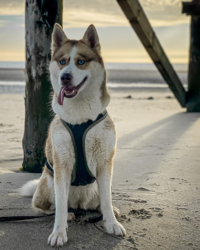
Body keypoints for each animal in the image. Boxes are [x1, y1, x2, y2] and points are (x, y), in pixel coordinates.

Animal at [21, 23, 126, 248]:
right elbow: (60, 205)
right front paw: (59, 232)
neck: (80, 118)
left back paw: (107, 211)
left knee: (101, 202)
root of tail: (79, 204)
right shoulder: (62, 164)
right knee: (49, 206)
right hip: (47, 184)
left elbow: (107, 198)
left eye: (80, 62)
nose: (65, 77)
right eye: (62, 62)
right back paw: (68, 214)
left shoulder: (105, 163)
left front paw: (111, 223)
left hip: (95, 188)